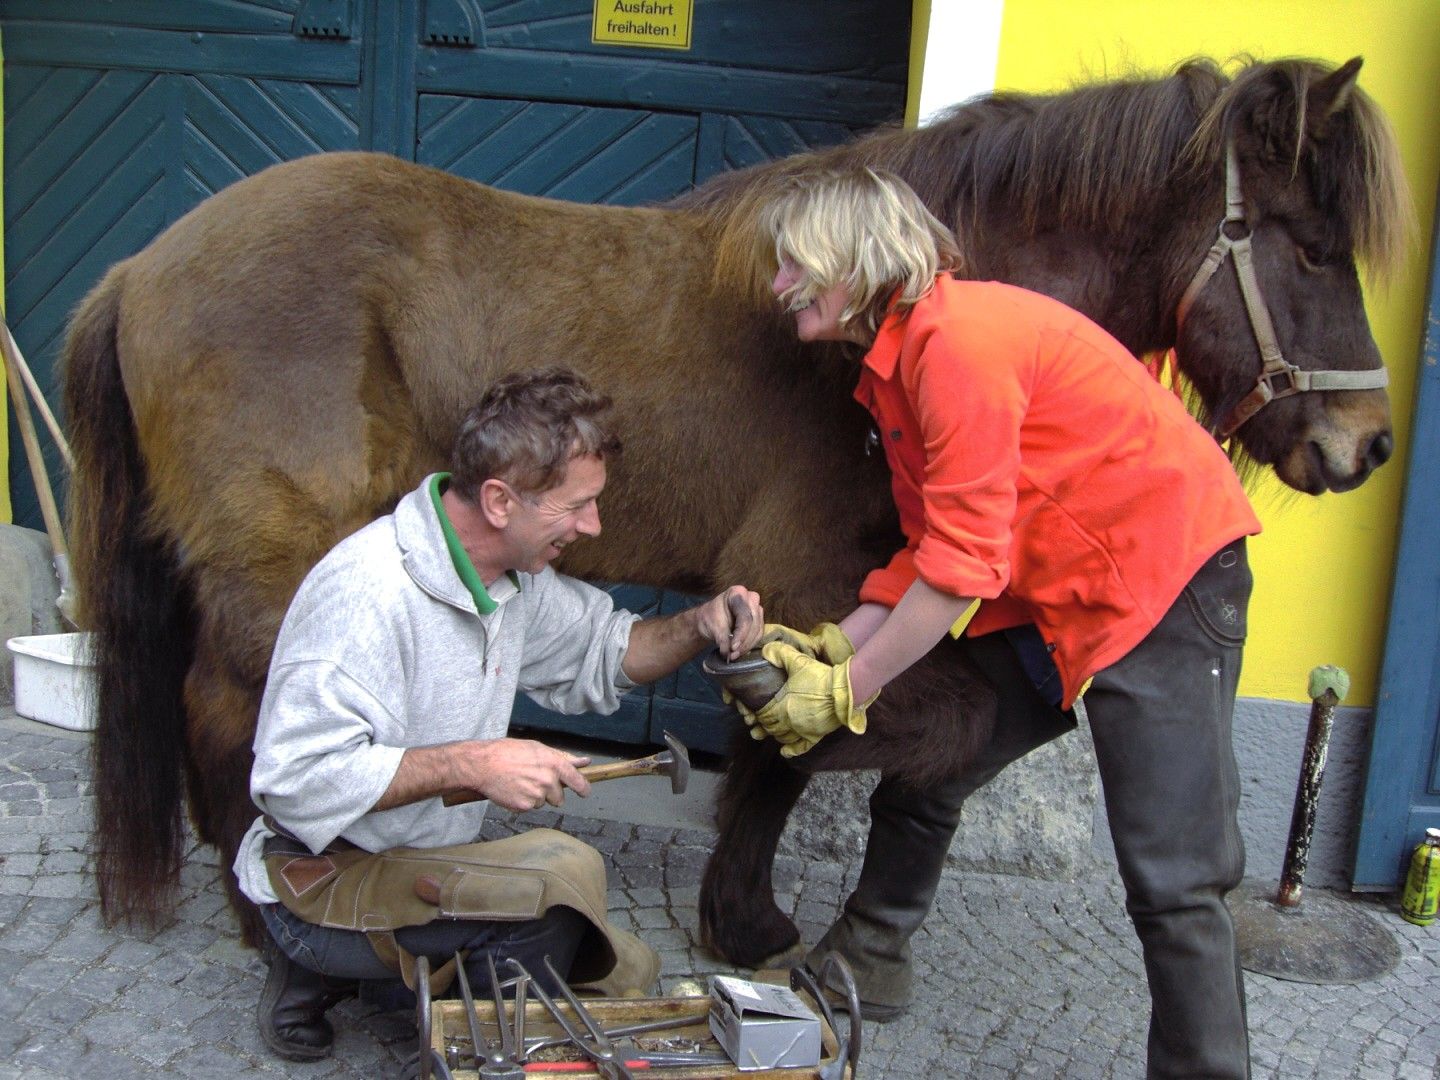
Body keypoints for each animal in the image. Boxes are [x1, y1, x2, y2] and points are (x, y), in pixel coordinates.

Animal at [65, 56, 1407, 970]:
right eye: (1306, 244)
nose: (1366, 443)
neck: (883, 315)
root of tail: (141, 265)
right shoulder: (805, 578)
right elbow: (790, 762)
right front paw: (750, 923)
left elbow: (809, 741)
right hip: (276, 570)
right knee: (228, 712)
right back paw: (263, 906)